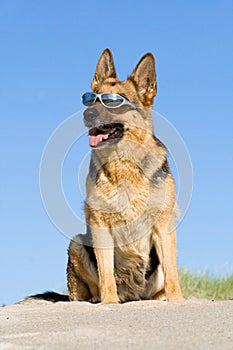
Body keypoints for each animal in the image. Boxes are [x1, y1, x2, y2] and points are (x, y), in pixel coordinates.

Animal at [66, 49, 183, 304]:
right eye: (91, 99)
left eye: (114, 101)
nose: (87, 114)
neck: (124, 165)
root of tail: (134, 296)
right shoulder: (100, 223)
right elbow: (106, 272)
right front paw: (109, 302)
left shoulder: (163, 223)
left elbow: (172, 270)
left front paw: (177, 300)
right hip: (77, 243)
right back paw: (98, 299)